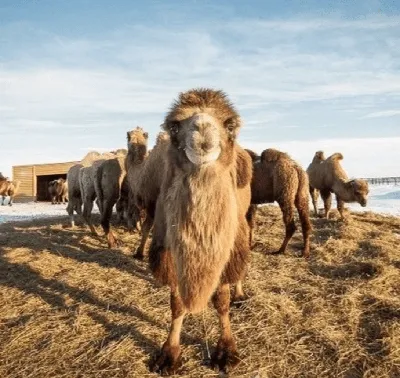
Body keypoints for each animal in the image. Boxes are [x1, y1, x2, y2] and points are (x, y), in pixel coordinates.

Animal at [148, 88, 252, 376]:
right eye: (174, 126)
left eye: (229, 125)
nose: (203, 133)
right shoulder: (169, 249)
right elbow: (177, 305)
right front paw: (169, 354)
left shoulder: (226, 246)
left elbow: (221, 300)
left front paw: (226, 351)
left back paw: (241, 294)